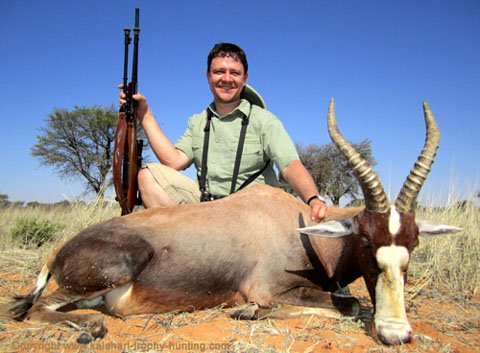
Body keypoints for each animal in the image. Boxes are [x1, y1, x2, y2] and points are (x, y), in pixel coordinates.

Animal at [4, 98, 462, 344]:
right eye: (366, 242)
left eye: (413, 245)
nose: (396, 333)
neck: (294, 224)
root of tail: (57, 253)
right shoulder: (269, 288)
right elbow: (345, 305)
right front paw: (247, 313)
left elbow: (346, 302)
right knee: (35, 309)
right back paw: (89, 329)